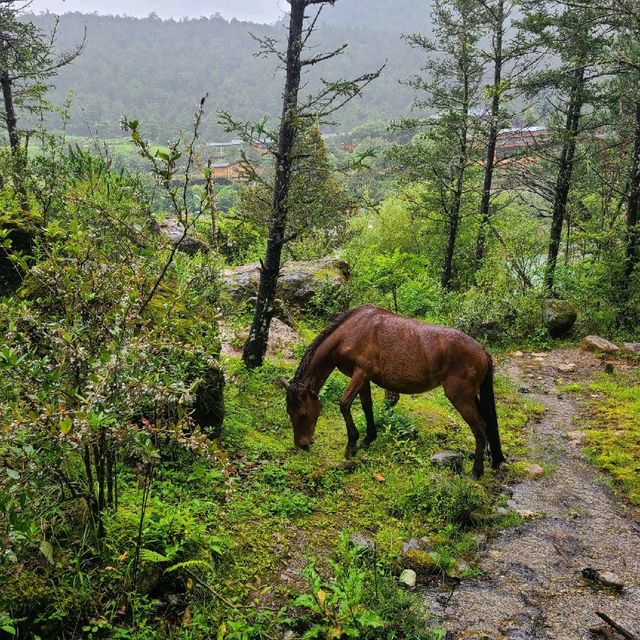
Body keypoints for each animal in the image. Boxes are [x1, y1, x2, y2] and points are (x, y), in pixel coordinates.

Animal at [280, 304, 504, 480]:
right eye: (289, 413)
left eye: (303, 414)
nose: (302, 445)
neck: (350, 332)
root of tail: (482, 350)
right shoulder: (364, 377)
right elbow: (366, 406)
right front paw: (368, 438)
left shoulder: (360, 373)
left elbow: (344, 404)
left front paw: (351, 445)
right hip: (471, 396)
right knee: (486, 423)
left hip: (460, 396)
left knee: (479, 427)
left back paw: (476, 471)